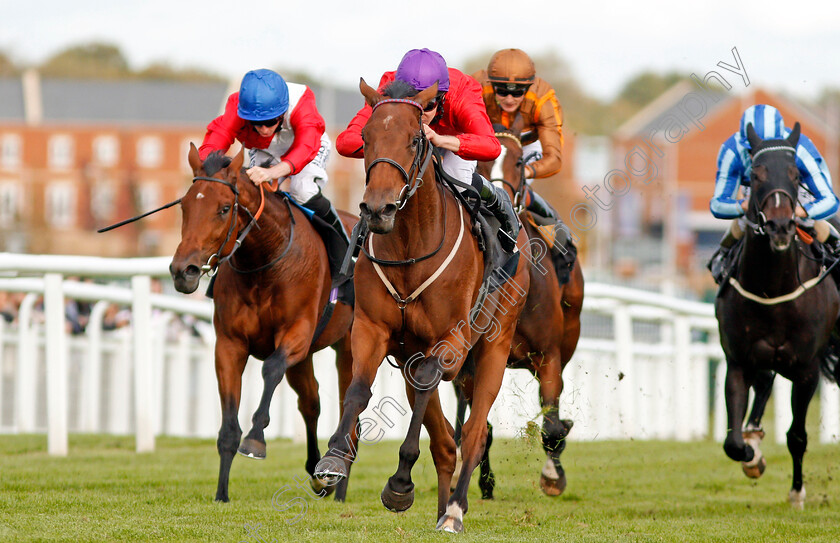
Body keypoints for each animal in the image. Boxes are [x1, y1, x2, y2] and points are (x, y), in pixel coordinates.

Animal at [169, 143, 356, 502]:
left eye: (224, 208)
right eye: (184, 205)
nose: (183, 271)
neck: (266, 263)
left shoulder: (296, 334)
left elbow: (270, 368)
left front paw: (256, 439)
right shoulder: (229, 345)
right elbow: (229, 426)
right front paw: (221, 493)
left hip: (351, 346)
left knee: (348, 406)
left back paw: (339, 484)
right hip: (306, 359)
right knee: (311, 402)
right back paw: (318, 475)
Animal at [312, 81, 528, 536]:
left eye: (415, 139)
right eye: (365, 138)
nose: (378, 209)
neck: (411, 245)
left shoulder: (451, 338)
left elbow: (433, 381)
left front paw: (399, 483)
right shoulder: (372, 329)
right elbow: (358, 388)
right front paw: (333, 459)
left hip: (496, 344)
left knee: (474, 433)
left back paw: (455, 510)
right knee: (445, 441)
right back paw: (442, 507)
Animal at [452, 121, 584, 500]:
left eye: (517, 162)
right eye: (478, 162)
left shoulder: (549, 356)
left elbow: (551, 422)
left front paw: (553, 476)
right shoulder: (472, 364)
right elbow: (480, 424)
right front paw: (482, 481)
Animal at [716, 123, 840, 510]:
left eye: (796, 174)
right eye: (755, 175)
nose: (782, 227)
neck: (773, 290)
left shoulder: (807, 369)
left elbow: (797, 436)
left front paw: (797, 492)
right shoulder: (739, 361)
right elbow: (732, 442)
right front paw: (752, 455)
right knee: (765, 382)